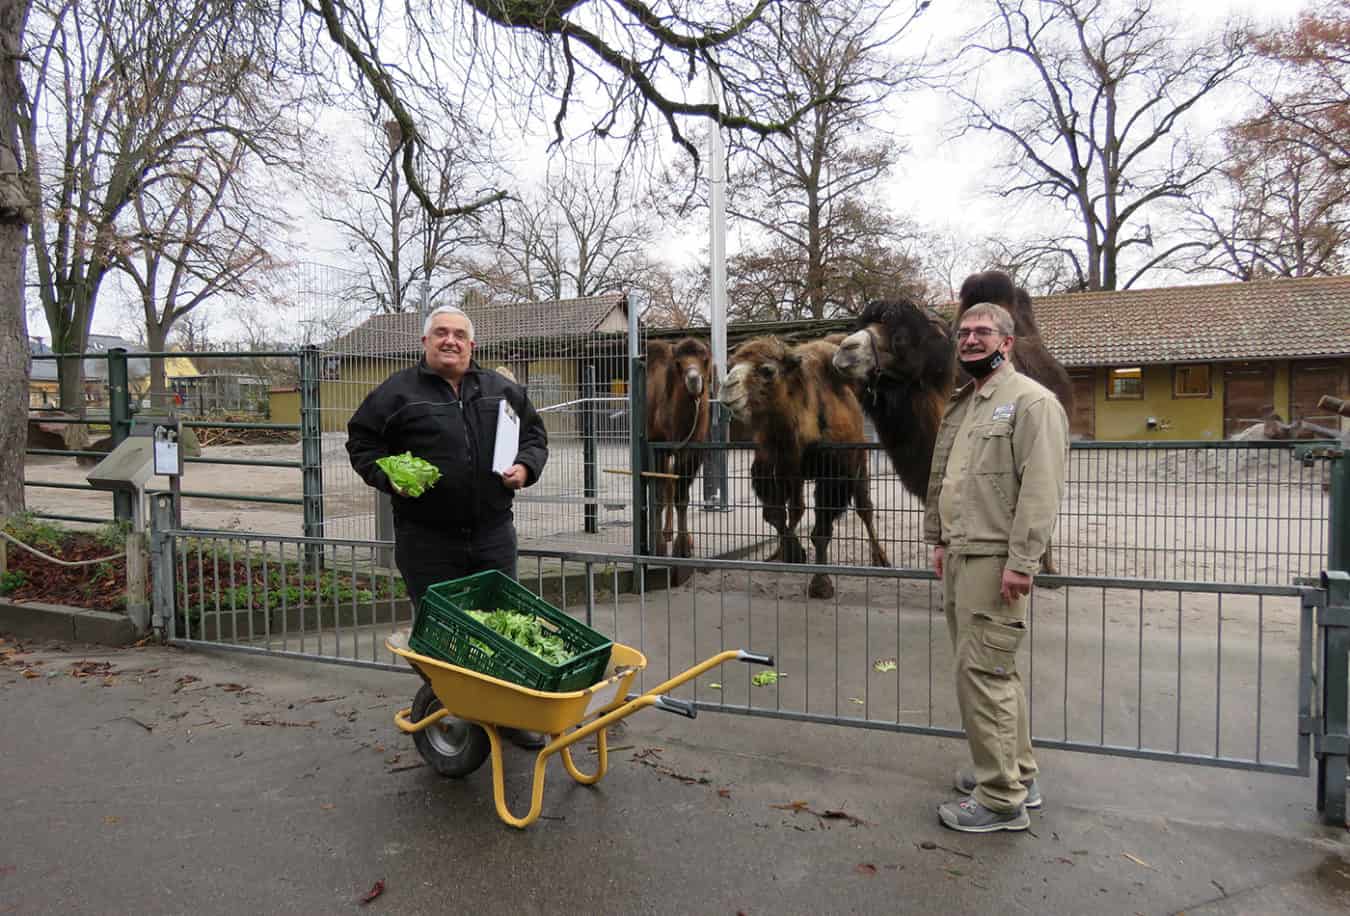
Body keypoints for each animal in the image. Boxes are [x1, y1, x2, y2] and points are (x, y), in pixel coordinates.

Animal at [645, 333, 712, 577]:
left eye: (705, 358)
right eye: (678, 363)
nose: (694, 379)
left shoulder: (693, 449)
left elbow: (681, 497)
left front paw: (683, 548)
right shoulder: (658, 445)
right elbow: (657, 494)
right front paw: (658, 548)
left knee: (671, 485)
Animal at [723, 333, 891, 598]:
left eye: (767, 370)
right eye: (730, 366)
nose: (728, 387)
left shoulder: (833, 474)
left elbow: (820, 531)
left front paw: (821, 584)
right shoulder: (779, 466)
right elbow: (775, 513)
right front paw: (792, 553)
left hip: (860, 461)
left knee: (865, 508)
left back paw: (881, 559)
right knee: (797, 508)